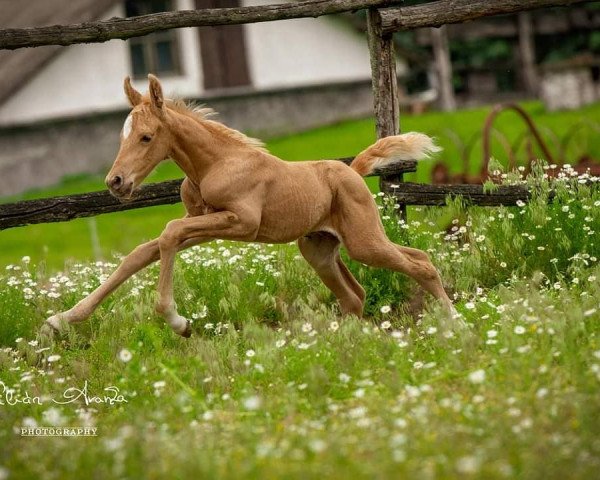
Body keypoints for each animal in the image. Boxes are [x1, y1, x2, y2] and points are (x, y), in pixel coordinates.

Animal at [44, 76, 452, 338]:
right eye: (122, 135)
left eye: (146, 137)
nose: (115, 182)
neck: (214, 164)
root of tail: (351, 170)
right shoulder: (203, 221)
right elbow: (145, 250)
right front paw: (61, 320)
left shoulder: (241, 222)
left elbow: (168, 235)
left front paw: (178, 322)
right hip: (319, 248)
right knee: (356, 296)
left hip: (363, 241)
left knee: (421, 263)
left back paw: (455, 324)